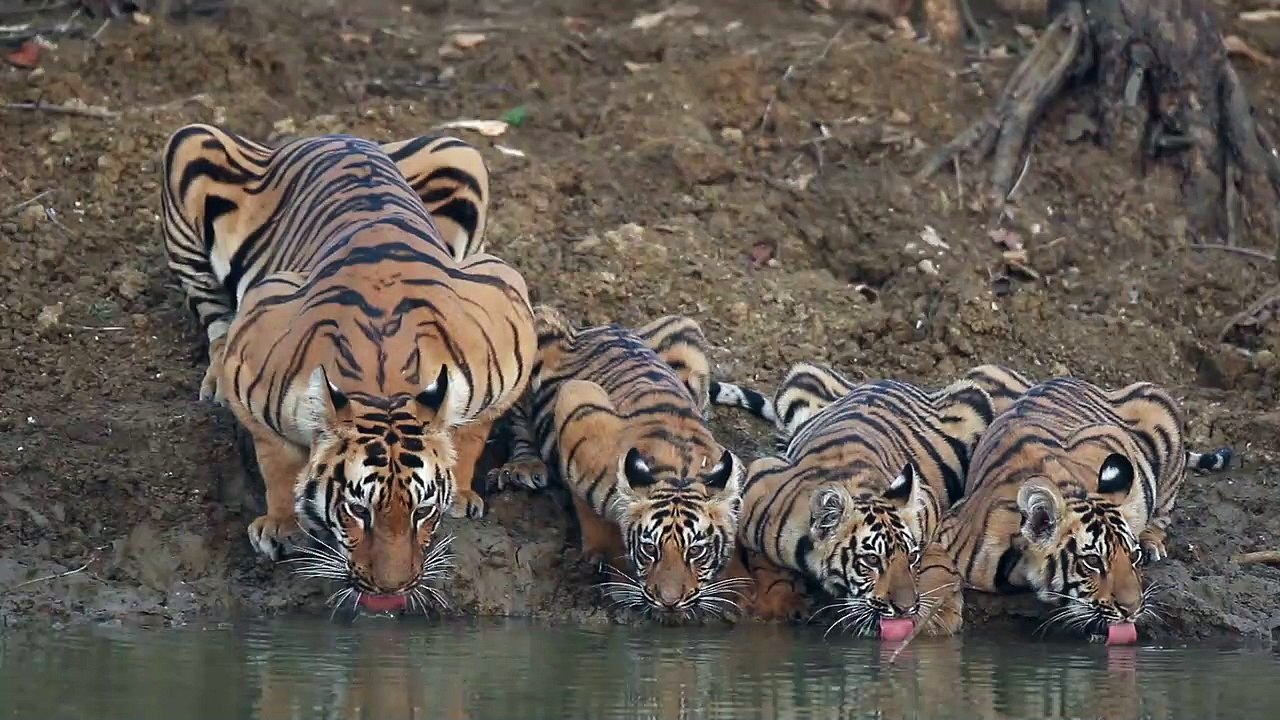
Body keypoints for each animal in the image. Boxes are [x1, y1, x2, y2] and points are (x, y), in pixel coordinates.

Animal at [160, 123, 536, 607]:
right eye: (358, 510)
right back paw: (215, 382)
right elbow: (276, 457)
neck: (384, 381)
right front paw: (282, 525)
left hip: (461, 153)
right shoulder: (255, 334)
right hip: (190, 143)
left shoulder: (509, 314)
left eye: (423, 511)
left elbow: (472, 432)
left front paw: (463, 492)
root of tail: (333, 136)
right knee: (213, 316)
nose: (392, 588)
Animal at [491, 306, 747, 618]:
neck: (679, 470)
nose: (670, 601)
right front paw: (599, 553)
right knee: (518, 421)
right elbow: (586, 504)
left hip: (686, 333)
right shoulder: (577, 406)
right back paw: (524, 466)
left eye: (696, 551)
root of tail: (598, 326)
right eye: (650, 549)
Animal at [709, 361, 995, 637]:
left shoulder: (929, 506)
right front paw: (779, 600)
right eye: (871, 561)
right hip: (799, 377)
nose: (905, 609)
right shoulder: (757, 484)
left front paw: (940, 615)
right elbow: (764, 563)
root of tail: (885, 380)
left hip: (974, 397)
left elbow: (936, 557)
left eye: (911, 558)